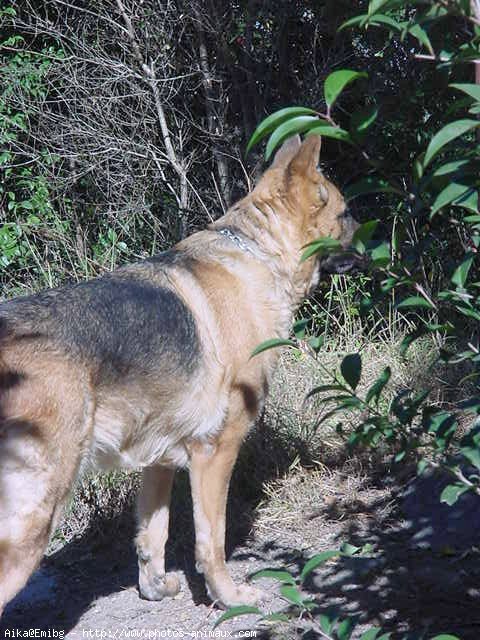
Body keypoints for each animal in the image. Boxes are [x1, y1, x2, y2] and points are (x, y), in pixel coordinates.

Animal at [0, 134, 358, 616]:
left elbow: (153, 535)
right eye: (345, 213)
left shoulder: (160, 460)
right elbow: (212, 541)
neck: (259, 256)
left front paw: (153, 588)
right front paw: (228, 597)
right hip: (33, 520)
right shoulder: (215, 453)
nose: (378, 235)